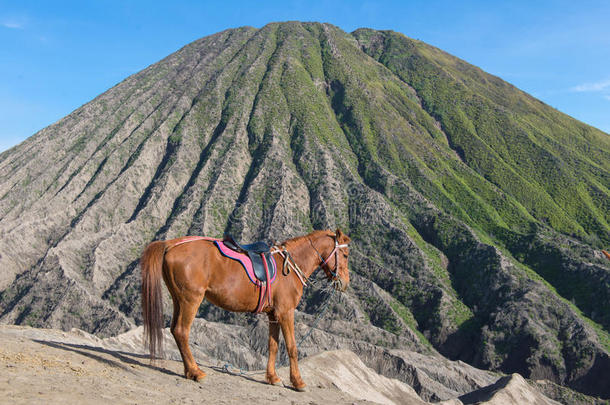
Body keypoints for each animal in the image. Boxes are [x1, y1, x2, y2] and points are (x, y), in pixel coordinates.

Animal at [140, 227, 350, 388]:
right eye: (345, 255)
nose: (345, 283)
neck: (290, 266)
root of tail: (170, 244)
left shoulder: (273, 314)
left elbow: (273, 345)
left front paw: (272, 377)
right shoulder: (285, 312)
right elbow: (292, 347)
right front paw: (298, 382)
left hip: (179, 299)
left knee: (175, 330)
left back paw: (188, 371)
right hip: (191, 300)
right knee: (182, 331)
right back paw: (196, 372)